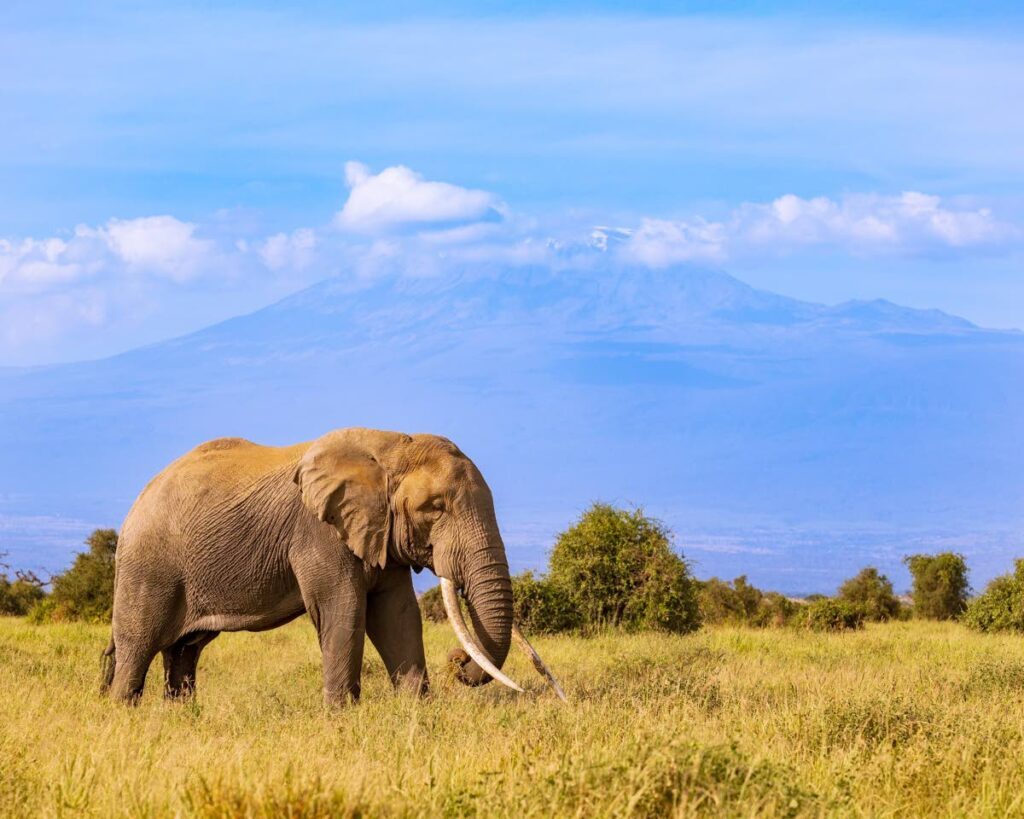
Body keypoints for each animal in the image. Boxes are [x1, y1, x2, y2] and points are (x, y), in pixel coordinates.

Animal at [100, 427, 561, 704]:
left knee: (184, 652)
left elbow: (397, 615)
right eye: (435, 508)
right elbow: (344, 609)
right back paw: (122, 717)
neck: (393, 447)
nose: (458, 662)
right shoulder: (318, 531)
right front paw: (343, 717)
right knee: (137, 648)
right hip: (149, 567)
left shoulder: (379, 532)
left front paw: (417, 710)